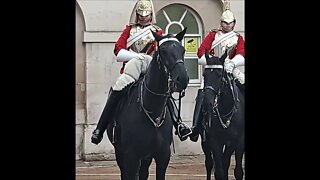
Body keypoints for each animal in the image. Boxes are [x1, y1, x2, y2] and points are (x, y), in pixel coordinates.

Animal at [106, 28, 189, 180]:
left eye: (183, 50)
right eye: (163, 51)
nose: (182, 79)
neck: (152, 110)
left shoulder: (162, 157)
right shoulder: (131, 157)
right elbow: (119, 49)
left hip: (146, 158)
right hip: (121, 153)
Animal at [200, 51, 245, 180]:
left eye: (219, 75)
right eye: (204, 75)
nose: (207, 103)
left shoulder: (238, 142)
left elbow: (237, 172)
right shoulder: (215, 141)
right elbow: (219, 172)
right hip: (205, 142)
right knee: (209, 164)